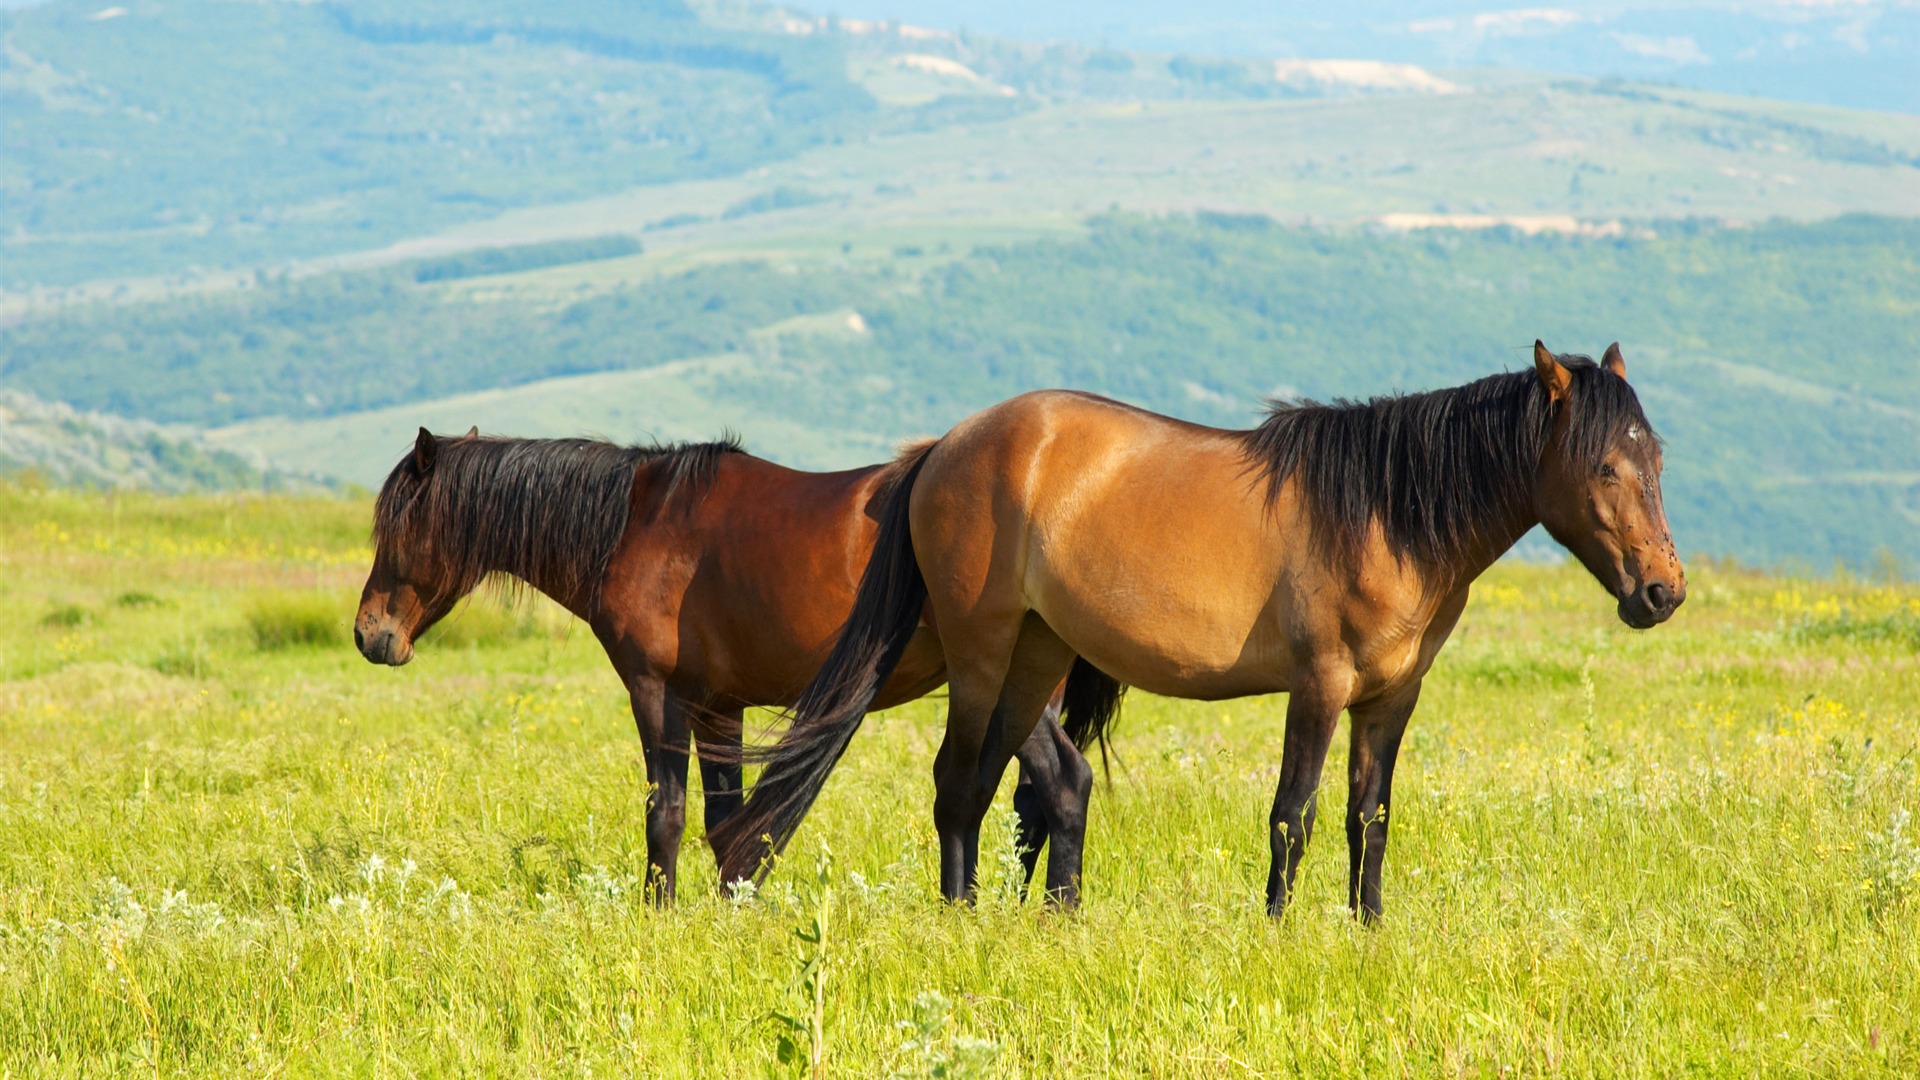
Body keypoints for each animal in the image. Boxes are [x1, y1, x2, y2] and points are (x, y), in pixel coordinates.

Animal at [357, 428, 1121, 899]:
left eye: (398, 525)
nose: (371, 635)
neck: (635, 525)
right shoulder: (719, 706)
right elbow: (726, 824)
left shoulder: (658, 694)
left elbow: (665, 813)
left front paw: (658, 913)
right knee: (1032, 801)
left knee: (1061, 784)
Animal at [721, 340, 1681, 910]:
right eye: (1603, 465)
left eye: (1657, 458)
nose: (1662, 592)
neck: (1384, 516)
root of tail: (942, 450)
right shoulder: (1319, 686)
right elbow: (1293, 814)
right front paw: (1279, 931)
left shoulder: (1390, 699)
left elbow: (1367, 818)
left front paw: (1367, 928)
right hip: (981, 652)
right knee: (957, 784)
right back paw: (959, 920)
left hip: (1036, 656)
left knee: (1000, 785)